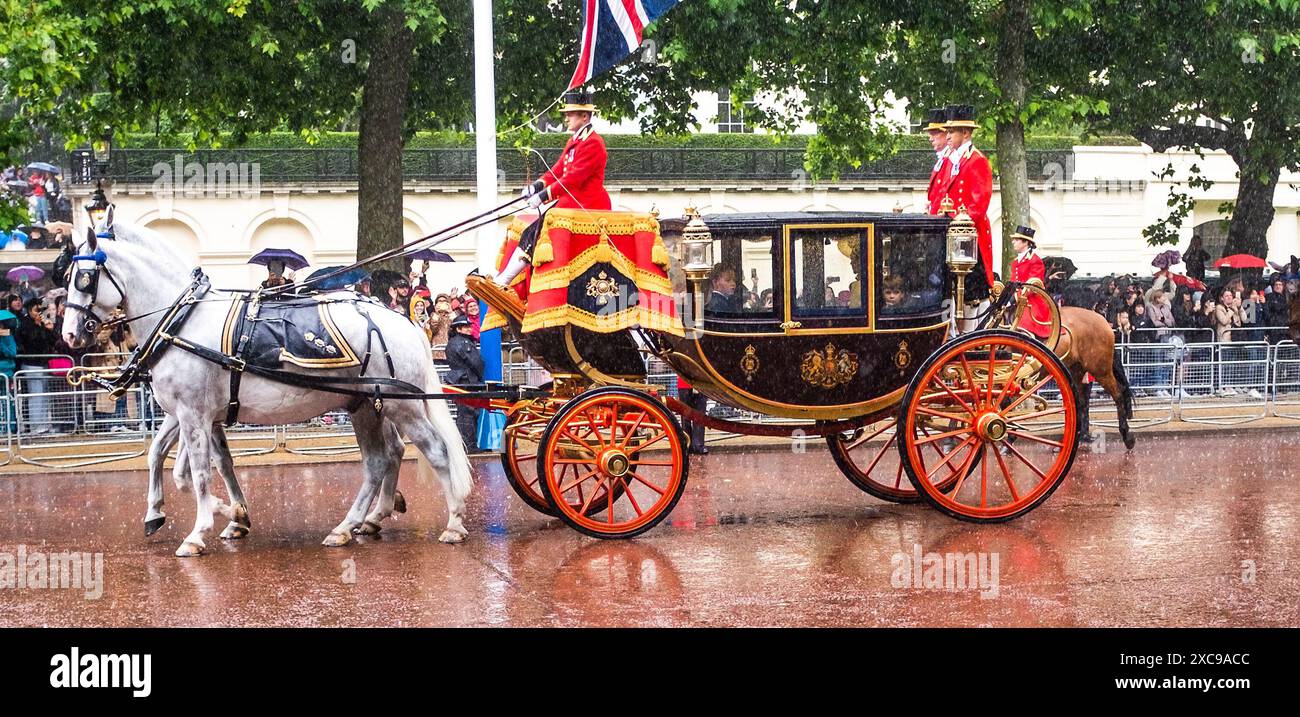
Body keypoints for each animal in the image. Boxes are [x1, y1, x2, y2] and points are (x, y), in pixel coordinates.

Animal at [61, 220, 470, 558]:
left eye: (83, 278)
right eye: (66, 274)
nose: (70, 335)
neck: (182, 322)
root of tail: (403, 322)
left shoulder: (193, 413)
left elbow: (196, 472)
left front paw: (200, 530)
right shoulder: (198, 414)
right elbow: (186, 460)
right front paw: (221, 514)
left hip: (403, 406)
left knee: (433, 451)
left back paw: (453, 521)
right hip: (367, 405)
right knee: (381, 459)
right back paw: (354, 524)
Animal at [1060, 305, 1133, 452]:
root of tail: (1103, 321)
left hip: (1100, 370)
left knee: (1118, 393)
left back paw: (1126, 435)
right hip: (1077, 370)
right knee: (1080, 402)